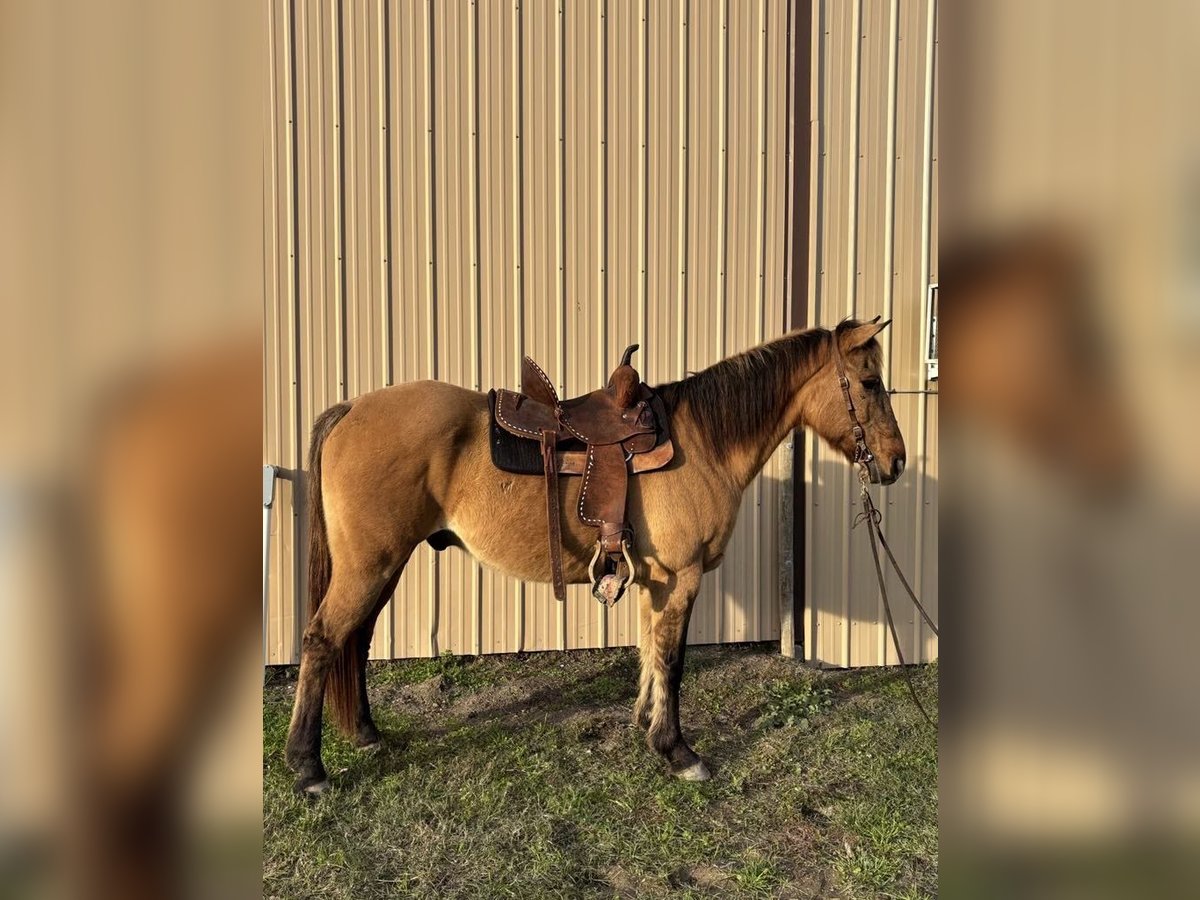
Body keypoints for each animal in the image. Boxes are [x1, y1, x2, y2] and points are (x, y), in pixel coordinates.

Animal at [285, 316, 902, 796]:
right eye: (869, 382)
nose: (894, 462)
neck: (704, 442)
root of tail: (350, 409)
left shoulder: (655, 580)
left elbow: (650, 650)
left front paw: (644, 724)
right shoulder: (682, 577)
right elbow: (673, 661)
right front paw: (677, 751)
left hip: (382, 565)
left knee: (356, 640)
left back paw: (366, 734)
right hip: (369, 565)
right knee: (322, 640)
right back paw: (308, 767)